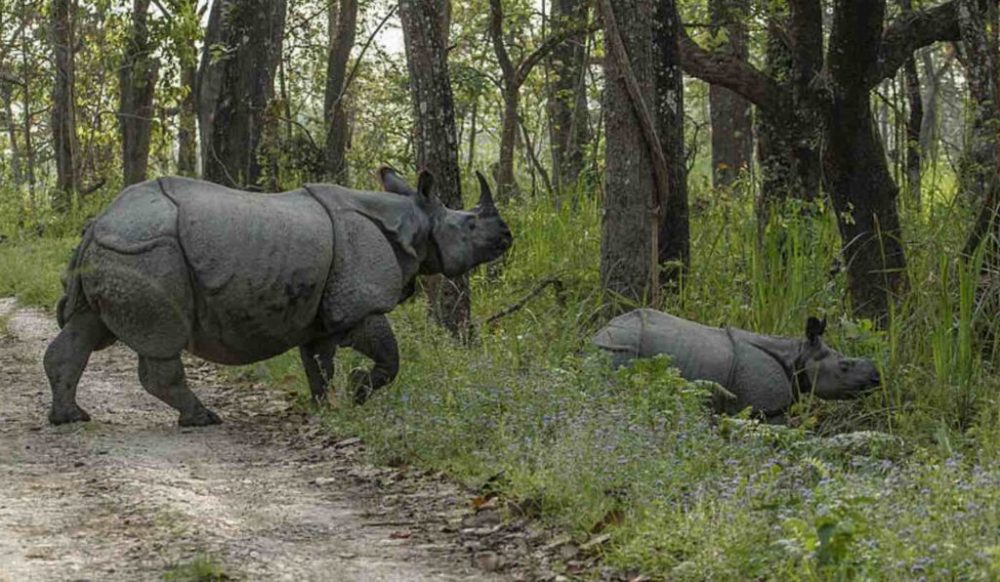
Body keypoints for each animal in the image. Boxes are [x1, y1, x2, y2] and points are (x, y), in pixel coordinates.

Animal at [592, 310, 884, 420]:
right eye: (845, 366)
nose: (877, 378)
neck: (798, 354)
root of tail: (599, 334)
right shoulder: (767, 407)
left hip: (616, 346)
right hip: (621, 349)